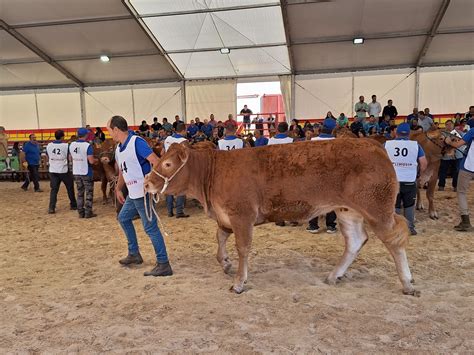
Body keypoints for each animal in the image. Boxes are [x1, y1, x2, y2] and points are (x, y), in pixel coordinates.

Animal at [144, 140, 418, 296]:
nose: (147, 183)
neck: (213, 174)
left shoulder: (242, 214)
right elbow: (220, 237)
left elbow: (242, 247)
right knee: (355, 241)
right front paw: (225, 263)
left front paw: (238, 282)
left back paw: (407, 283)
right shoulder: (225, 216)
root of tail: (374, 145)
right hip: (347, 210)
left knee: (394, 241)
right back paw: (334, 276)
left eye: (167, 164)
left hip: (377, 209)